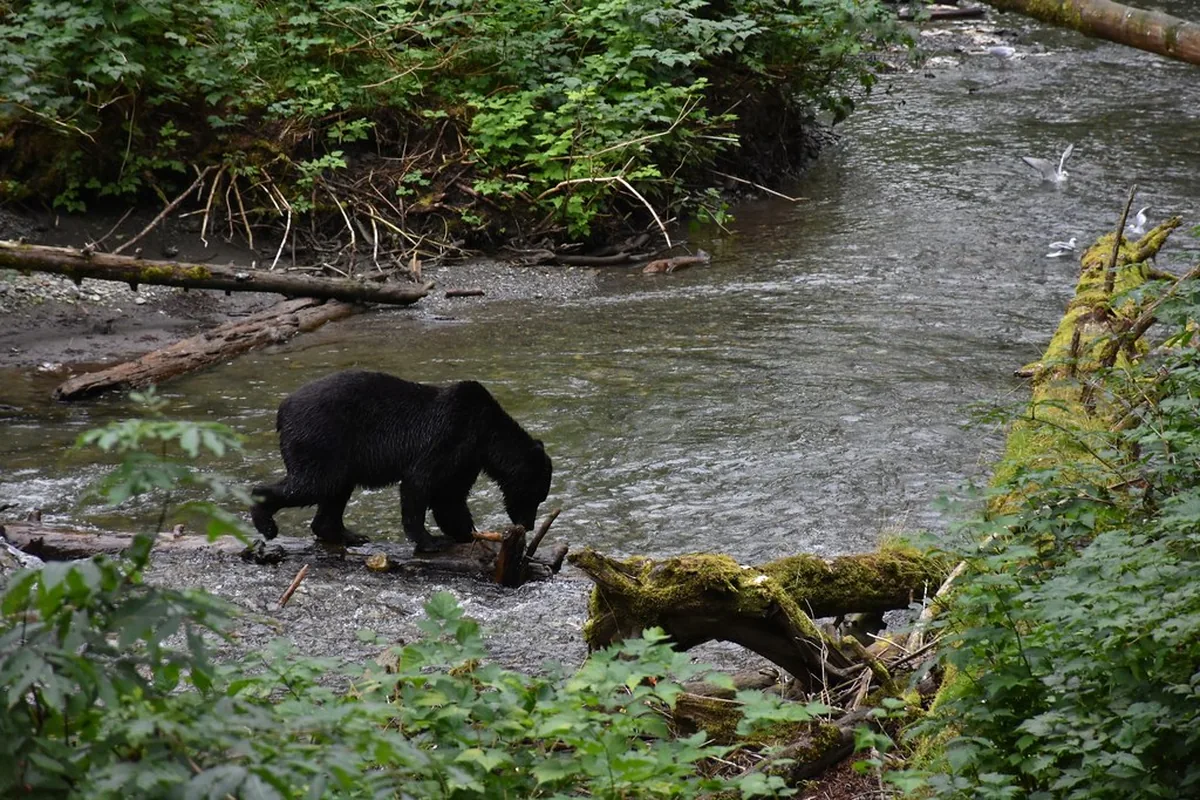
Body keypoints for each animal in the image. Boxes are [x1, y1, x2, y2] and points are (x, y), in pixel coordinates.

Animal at [250, 370, 552, 552]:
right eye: (535, 496)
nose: (529, 525)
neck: (485, 434)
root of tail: (282, 409)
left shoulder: (467, 459)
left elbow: (450, 496)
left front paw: (468, 534)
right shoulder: (449, 435)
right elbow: (420, 483)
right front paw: (430, 540)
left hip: (340, 455)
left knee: (335, 491)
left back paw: (349, 534)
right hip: (322, 438)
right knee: (313, 483)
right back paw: (266, 522)